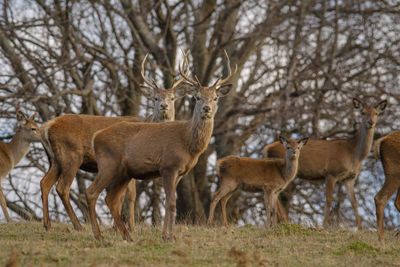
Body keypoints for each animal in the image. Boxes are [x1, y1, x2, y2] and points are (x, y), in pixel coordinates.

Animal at [39, 54, 189, 232]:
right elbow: (130, 195)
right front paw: (129, 227)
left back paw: (48, 224)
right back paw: (79, 226)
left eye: (172, 98)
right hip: (71, 155)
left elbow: (124, 195)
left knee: (45, 183)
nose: (164, 106)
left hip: (55, 159)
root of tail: (46, 126)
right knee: (62, 188)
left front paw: (117, 227)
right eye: (155, 98)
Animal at [84, 50, 234, 243]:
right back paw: (99, 235)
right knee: (92, 193)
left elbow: (168, 202)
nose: (207, 108)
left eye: (215, 98)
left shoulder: (180, 172)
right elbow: (171, 203)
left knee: (111, 199)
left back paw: (127, 236)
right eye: (197, 97)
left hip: (124, 173)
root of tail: (96, 137)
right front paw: (170, 238)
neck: (188, 143)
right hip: (108, 164)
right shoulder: (168, 166)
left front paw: (167, 235)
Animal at [264, 98, 386, 230]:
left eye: (376, 113)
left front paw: (360, 229)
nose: (371, 122)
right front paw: (324, 226)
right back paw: (284, 222)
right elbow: (328, 200)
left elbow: (354, 201)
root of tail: (267, 148)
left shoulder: (349, 178)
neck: (354, 154)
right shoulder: (331, 173)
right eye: (362, 112)